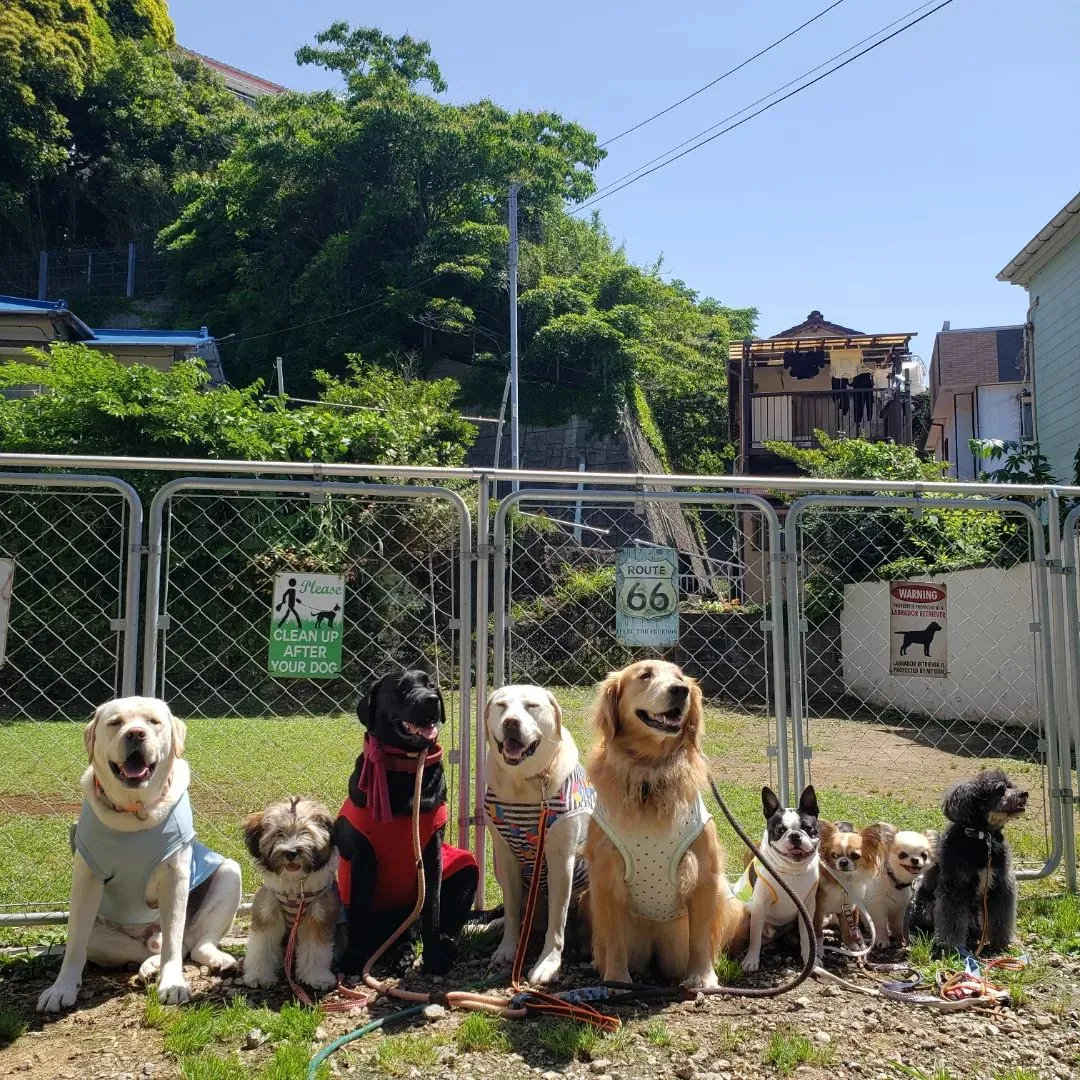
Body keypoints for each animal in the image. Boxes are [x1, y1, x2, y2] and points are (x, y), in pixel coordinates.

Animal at [244, 799, 336, 989]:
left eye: (306, 831)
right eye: (279, 833)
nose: (291, 852)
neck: (296, 886)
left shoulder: (318, 916)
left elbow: (316, 949)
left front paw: (317, 977)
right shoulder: (267, 912)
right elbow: (262, 947)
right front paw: (259, 976)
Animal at [911, 768, 1028, 954]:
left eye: (1012, 786)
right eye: (1000, 789)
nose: (1024, 794)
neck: (982, 838)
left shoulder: (1001, 886)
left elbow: (1002, 917)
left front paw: (1002, 943)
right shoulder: (955, 887)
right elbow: (952, 919)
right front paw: (951, 946)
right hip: (927, 904)